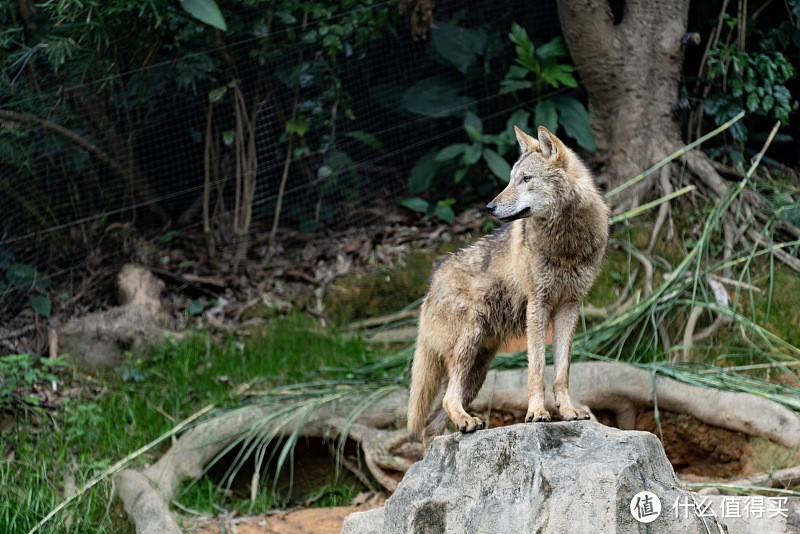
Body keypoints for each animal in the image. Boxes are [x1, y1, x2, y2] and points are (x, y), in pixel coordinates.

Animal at [410, 125, 608, 448]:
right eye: (511, 178)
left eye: (526, 179)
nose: (489, 207)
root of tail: (432, 281)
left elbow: (562, 372)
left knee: (432, 422)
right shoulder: (538, 306)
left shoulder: (569, 307)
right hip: (467, 349)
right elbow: (537, 369)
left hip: (477, 372)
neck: (565, 243)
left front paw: (568, 412)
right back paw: (466, 422)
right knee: (448, 400)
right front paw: (537, 413)